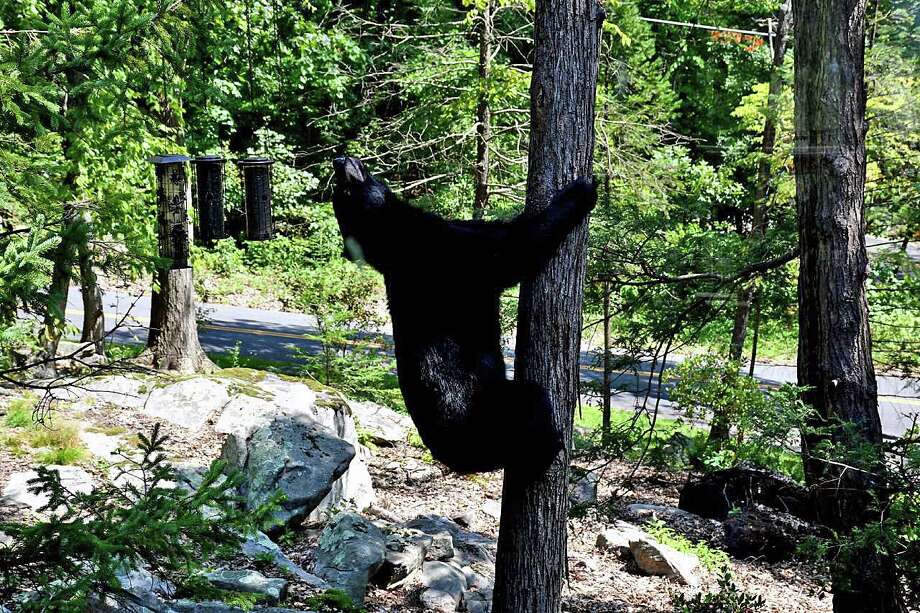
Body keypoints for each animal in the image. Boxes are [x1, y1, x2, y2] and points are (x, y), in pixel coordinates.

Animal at [332, 156, 596, 474]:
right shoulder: (455, 252)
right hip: (496, 416)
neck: (396, 244)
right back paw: (550, 446)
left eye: (337, 193)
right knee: (533, 402)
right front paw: (584, 190)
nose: (339, 161)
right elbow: (515, 244)